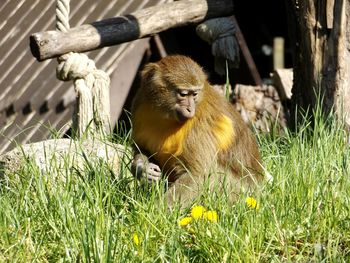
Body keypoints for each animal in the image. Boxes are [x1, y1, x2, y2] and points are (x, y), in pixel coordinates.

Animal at [131, 55, 262, 206]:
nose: (190, 109)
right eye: (183, 94)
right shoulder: (141, 102)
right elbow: (140, 147)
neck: (165, 113)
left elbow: (197, 175)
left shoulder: (201, 122)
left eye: (194, 94)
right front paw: (142, 168)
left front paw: (157, 210)